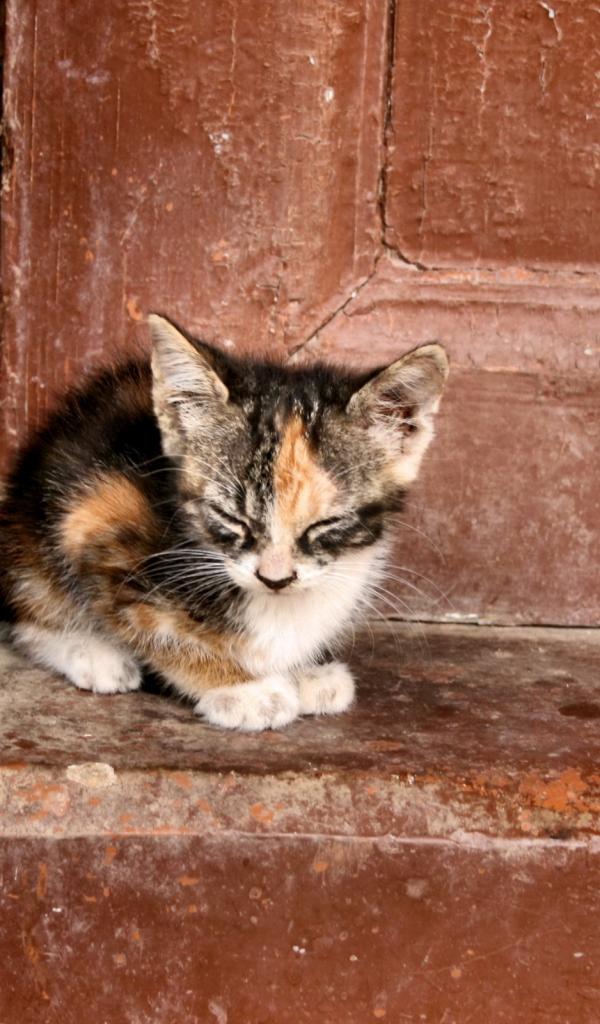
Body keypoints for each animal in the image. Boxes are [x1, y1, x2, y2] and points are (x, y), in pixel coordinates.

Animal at [0, 315, 449, 730]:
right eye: (232, 518)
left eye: (325, 524)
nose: (275, 579)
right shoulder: (95, 519)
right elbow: (157, 629)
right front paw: (242, 686)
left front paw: (303, 670)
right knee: (30, 604)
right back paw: (92, 653)